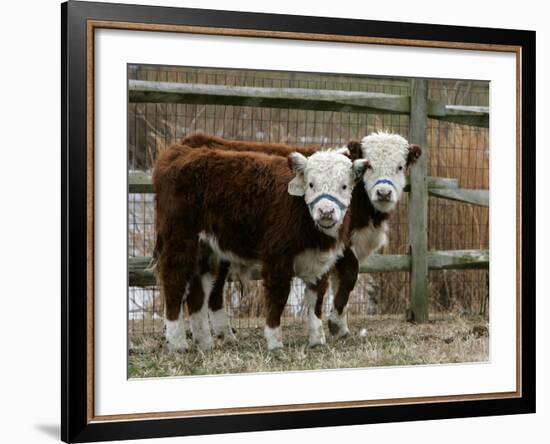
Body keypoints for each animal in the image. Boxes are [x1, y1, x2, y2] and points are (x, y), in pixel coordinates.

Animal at [153, 143, 368, 350]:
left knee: (198, 292)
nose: (326, 211)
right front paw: (274, 342)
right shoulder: (277, 256)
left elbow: (316, 299)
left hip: (207, 251)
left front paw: (317, 340)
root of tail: (179, 151)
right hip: (180, 240)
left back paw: (205, 343)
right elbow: (278, 295)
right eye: (311, 184)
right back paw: (178, 343)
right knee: (174, 281)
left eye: (344, 186)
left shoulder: (320, 262)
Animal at [181, 132, 422, 344]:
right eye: (370, 165)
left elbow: (339, 283)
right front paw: (334, 322)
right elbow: (350, 273)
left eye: (400, 166)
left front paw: (341, 328)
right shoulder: (341, 244)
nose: (383, 193)